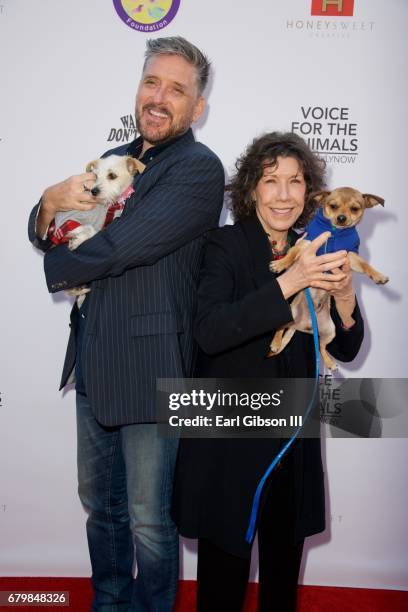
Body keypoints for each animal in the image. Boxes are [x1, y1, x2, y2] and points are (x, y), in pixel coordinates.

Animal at [50, 154, 144, 304]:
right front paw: (76, 241)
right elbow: (90, 228)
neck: (108, 206)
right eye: (95, 176)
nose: (94, 191)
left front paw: (78, 240)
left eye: (112, 176)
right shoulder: (67, 222)